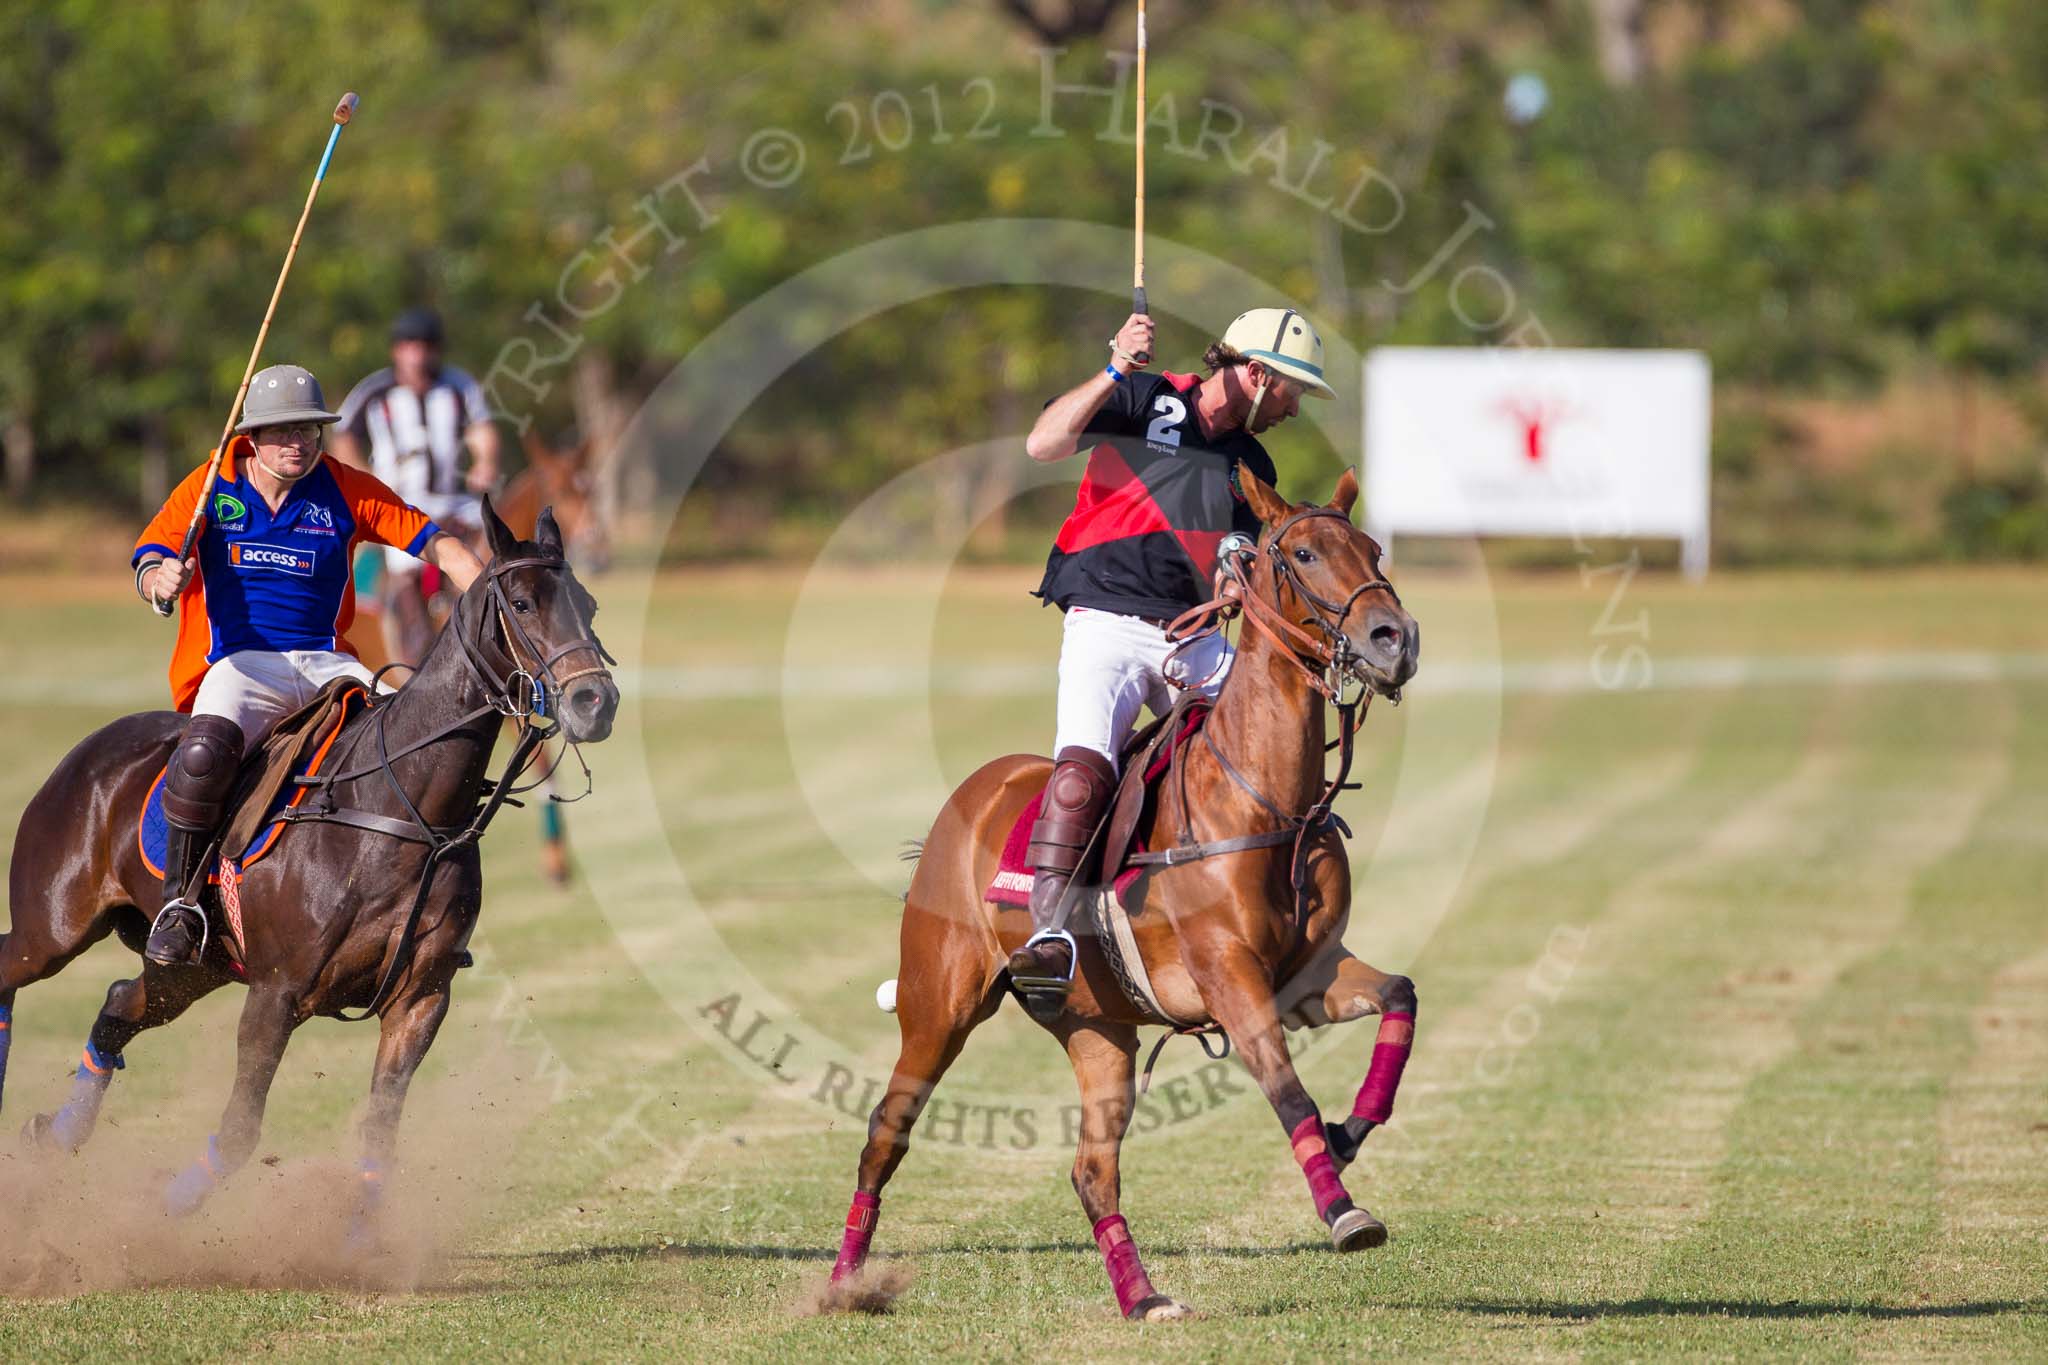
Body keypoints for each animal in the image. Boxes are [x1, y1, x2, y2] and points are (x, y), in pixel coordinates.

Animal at [0, 501, 614, 1227]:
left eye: (590, 605)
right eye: (522, 603)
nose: (596, 702)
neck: (405, 809)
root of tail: (87, 748)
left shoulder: (421, 999)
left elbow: (380, 1130)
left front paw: (361, 1237)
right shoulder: (276, 994)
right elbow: (241, 1129)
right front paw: (168, 1205)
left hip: (196, 965)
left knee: (121, 1001)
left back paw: (57, 1132)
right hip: (53, 927)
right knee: (18, 968)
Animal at [831, 470, 1425, 1326]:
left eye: (1374, 550)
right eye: (1306, 553)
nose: (1394, 639)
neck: (1267, 799)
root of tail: (967, 796)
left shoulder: (1309, 976)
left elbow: (1400, 995)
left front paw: (1351, 1133)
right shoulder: (1231, 977)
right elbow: (1289, 1091)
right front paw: (1345, 1210)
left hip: (1097, 1028)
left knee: (1091, 1167)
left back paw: (1142, 1296)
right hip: (938, 1004)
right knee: (887, 1129)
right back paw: (843, 1283)